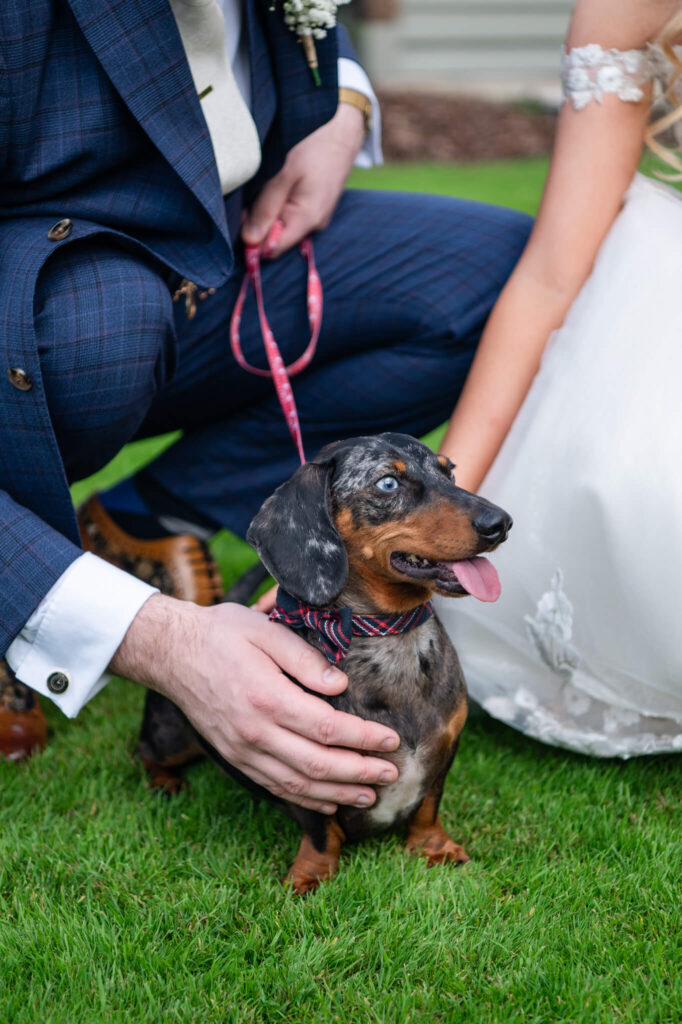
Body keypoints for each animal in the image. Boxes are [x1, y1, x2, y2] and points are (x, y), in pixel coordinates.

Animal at [138, 436, 509, 892]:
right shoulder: (306, 770)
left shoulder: (445, 753)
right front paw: (310, 875)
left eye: (450, 472)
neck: (386, 637)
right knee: (146, 751)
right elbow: (321, 831)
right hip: (171, 734)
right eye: (388, 483)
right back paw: (165, 783)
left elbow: (428, 806)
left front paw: (433, 847)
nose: (501, 523)